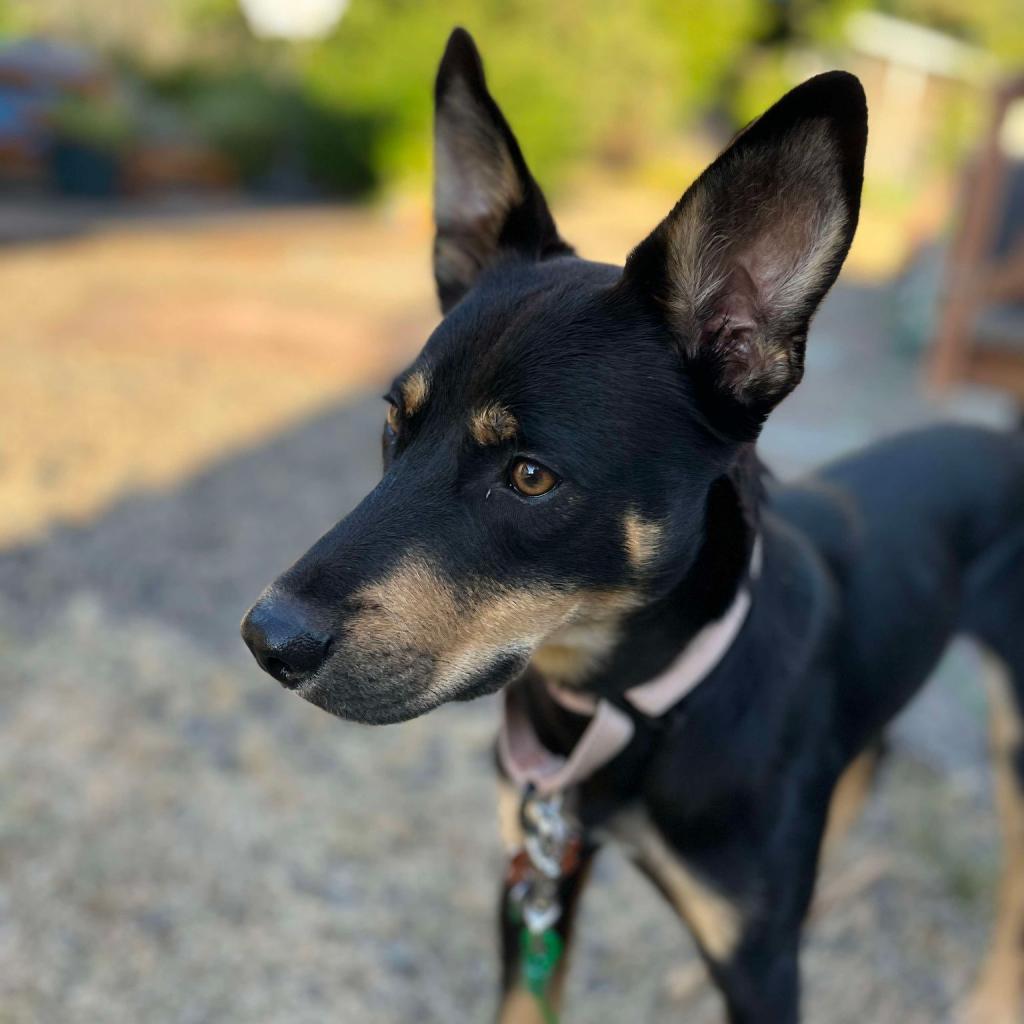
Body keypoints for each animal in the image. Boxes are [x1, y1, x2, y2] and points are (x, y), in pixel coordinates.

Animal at [241, 29, 1024, 1024]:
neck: (628, 706)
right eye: (394, 422)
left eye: (530, 476)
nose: (266, 639)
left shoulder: (756, 965)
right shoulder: (534, 873)